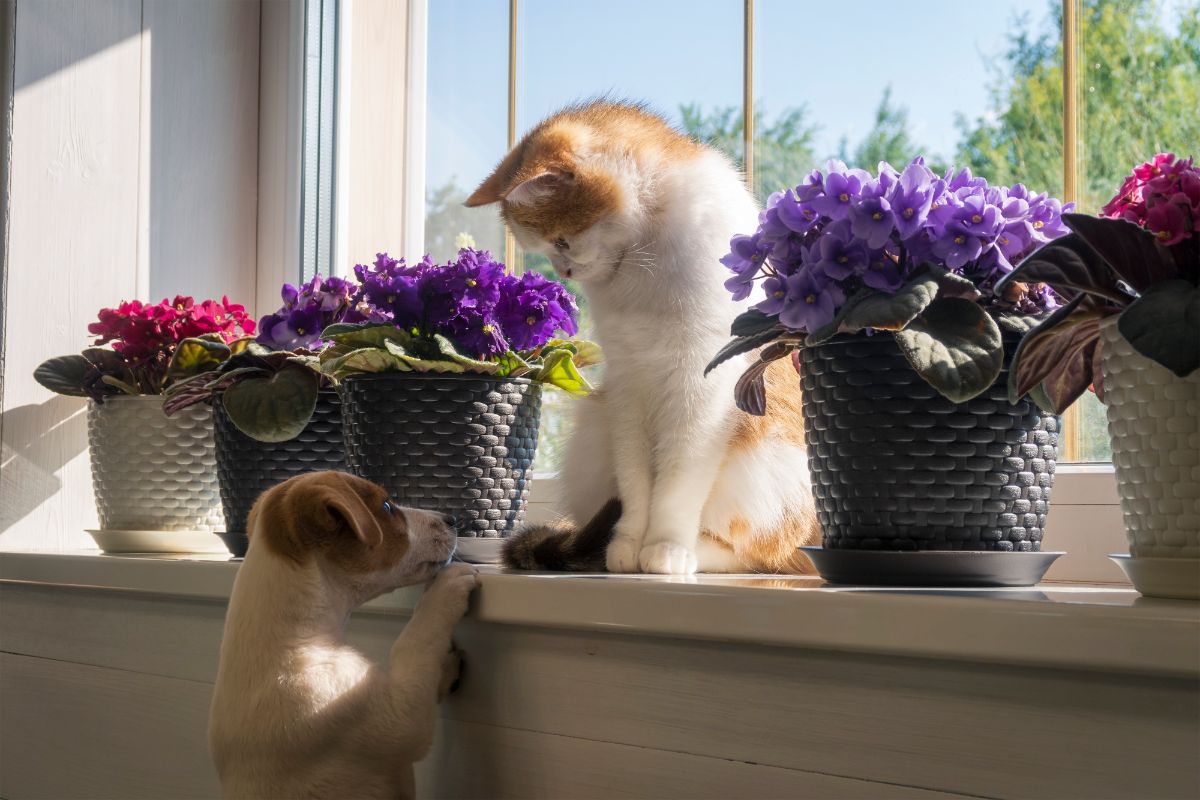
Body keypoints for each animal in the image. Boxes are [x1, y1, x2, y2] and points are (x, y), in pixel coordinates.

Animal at [211, 472, 477, 796]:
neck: (297, 639)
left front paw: (448, 668)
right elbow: (414, 642)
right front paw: (448, 586)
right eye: (386, 507)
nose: (453, 518)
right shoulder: (399, 716)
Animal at [463, 101, 820, 575]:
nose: (563, 271)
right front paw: (628, 544)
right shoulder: (629, 383)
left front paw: (665, 547)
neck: (641, 261)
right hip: (595, 430)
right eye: (544, 248)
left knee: (761, 552)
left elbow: (677, 482)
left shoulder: (698, 384)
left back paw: (696, 553)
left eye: (562, 241)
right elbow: (635, 482)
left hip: (772, 476)